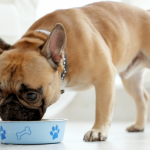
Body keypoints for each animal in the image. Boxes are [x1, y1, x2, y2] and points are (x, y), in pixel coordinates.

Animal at [0, 1, 150, 141]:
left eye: (31, 95)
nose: (10, 107)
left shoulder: (105, 75)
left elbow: (102, 107)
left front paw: (97, 130)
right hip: (130, 79)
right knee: (141, 98)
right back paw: (139, 126)